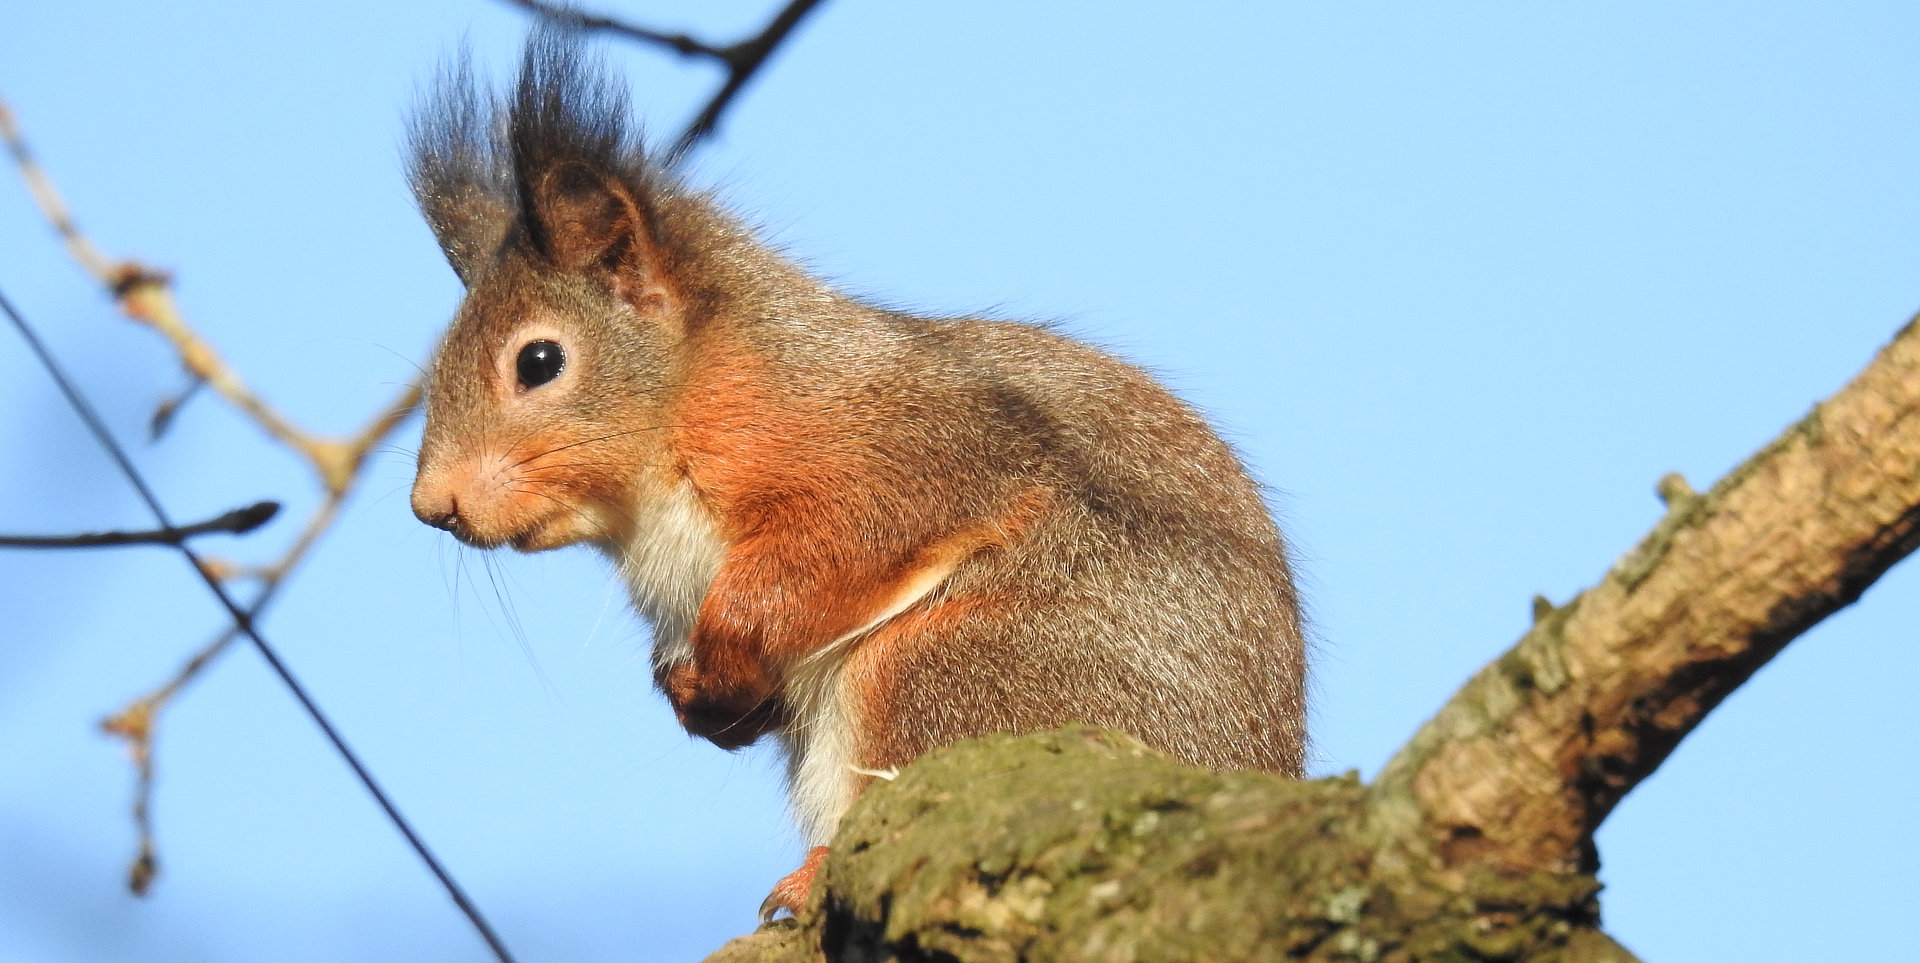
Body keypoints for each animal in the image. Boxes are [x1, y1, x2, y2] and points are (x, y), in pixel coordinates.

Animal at [407, 32, 1307, 922]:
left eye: (539, 361)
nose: (431, 504)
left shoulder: (898, 445)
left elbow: (844, 543)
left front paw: (731, 647)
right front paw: (700, 699)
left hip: (962, 668)